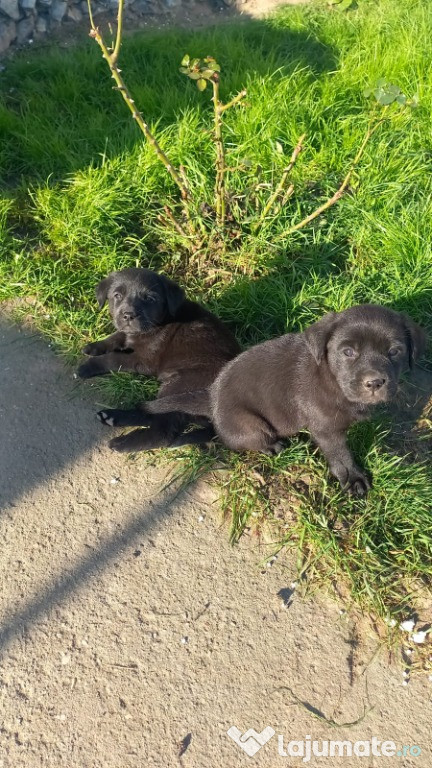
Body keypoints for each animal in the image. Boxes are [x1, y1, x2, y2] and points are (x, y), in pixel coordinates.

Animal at [77, 268, 240, 452]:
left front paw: (87, 367)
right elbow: (117, 336)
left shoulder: (143, 359)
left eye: (150, 299)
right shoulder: (128, 334)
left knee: (162, 431)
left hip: (179, 389)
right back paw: (112, 416)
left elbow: (114, 358)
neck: (161, 321)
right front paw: (94, 347)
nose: (128, 315)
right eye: (117, 295)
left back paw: (121, 443)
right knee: (149, 411)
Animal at [143, 304, 426, 496]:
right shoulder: (327, 430)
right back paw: (273, 446)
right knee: (244, 441)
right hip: (253, 424)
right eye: (348, 352)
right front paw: (352, 479)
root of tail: (211, 396)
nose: (375, 382)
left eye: (395, 351)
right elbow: (341, 455)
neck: (331, 378)